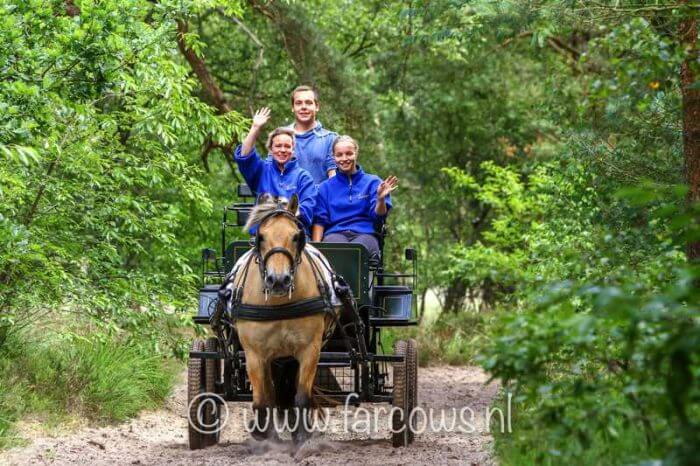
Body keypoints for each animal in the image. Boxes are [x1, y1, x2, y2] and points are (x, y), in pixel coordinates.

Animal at [217, 192, 340, 444]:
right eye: (261, 236)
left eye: (296, 236)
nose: (279, 281)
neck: (278, 304)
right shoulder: (255, 354)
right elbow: (263, 400)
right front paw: (265, 437)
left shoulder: (309, 350)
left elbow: (301, 396)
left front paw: (302, 437)